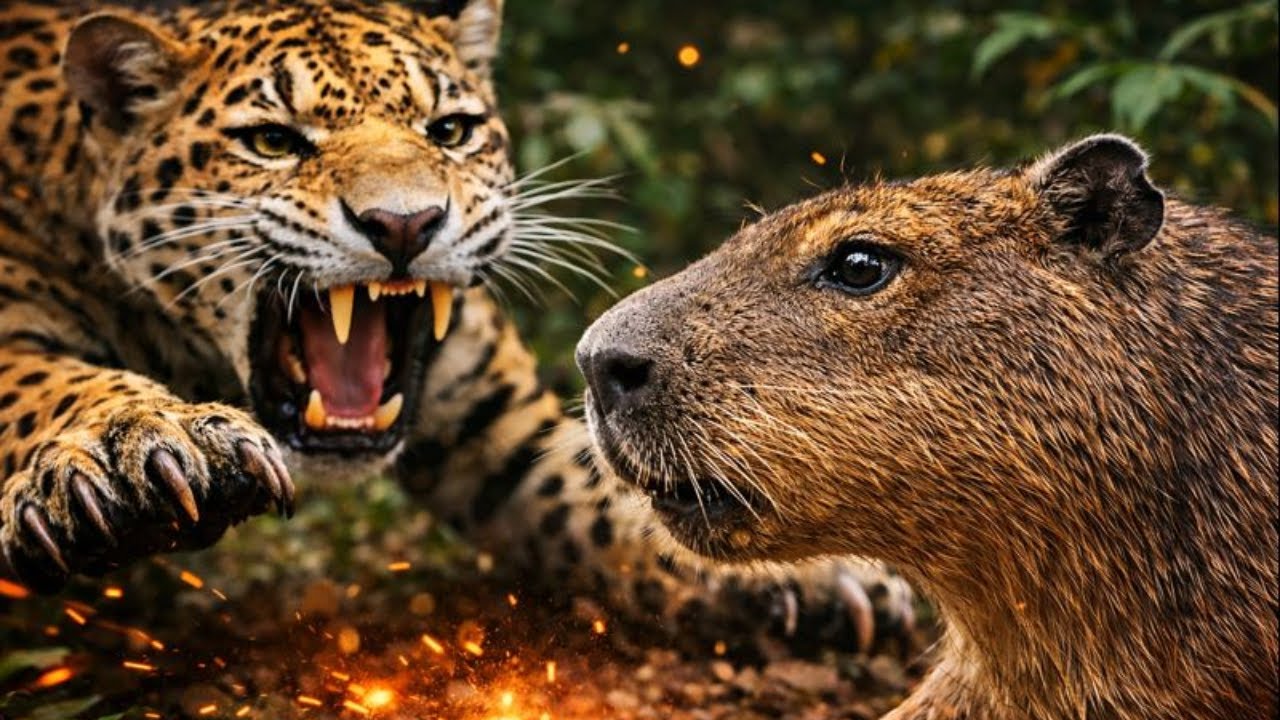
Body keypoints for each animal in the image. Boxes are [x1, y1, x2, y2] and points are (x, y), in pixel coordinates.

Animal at [0, 0, 914, 658]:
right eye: (272, 141)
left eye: (449, 131)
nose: (405, 224)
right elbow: (51, 382)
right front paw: (145, 455)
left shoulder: (501, 426)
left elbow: (607, 497)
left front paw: (814, 574)